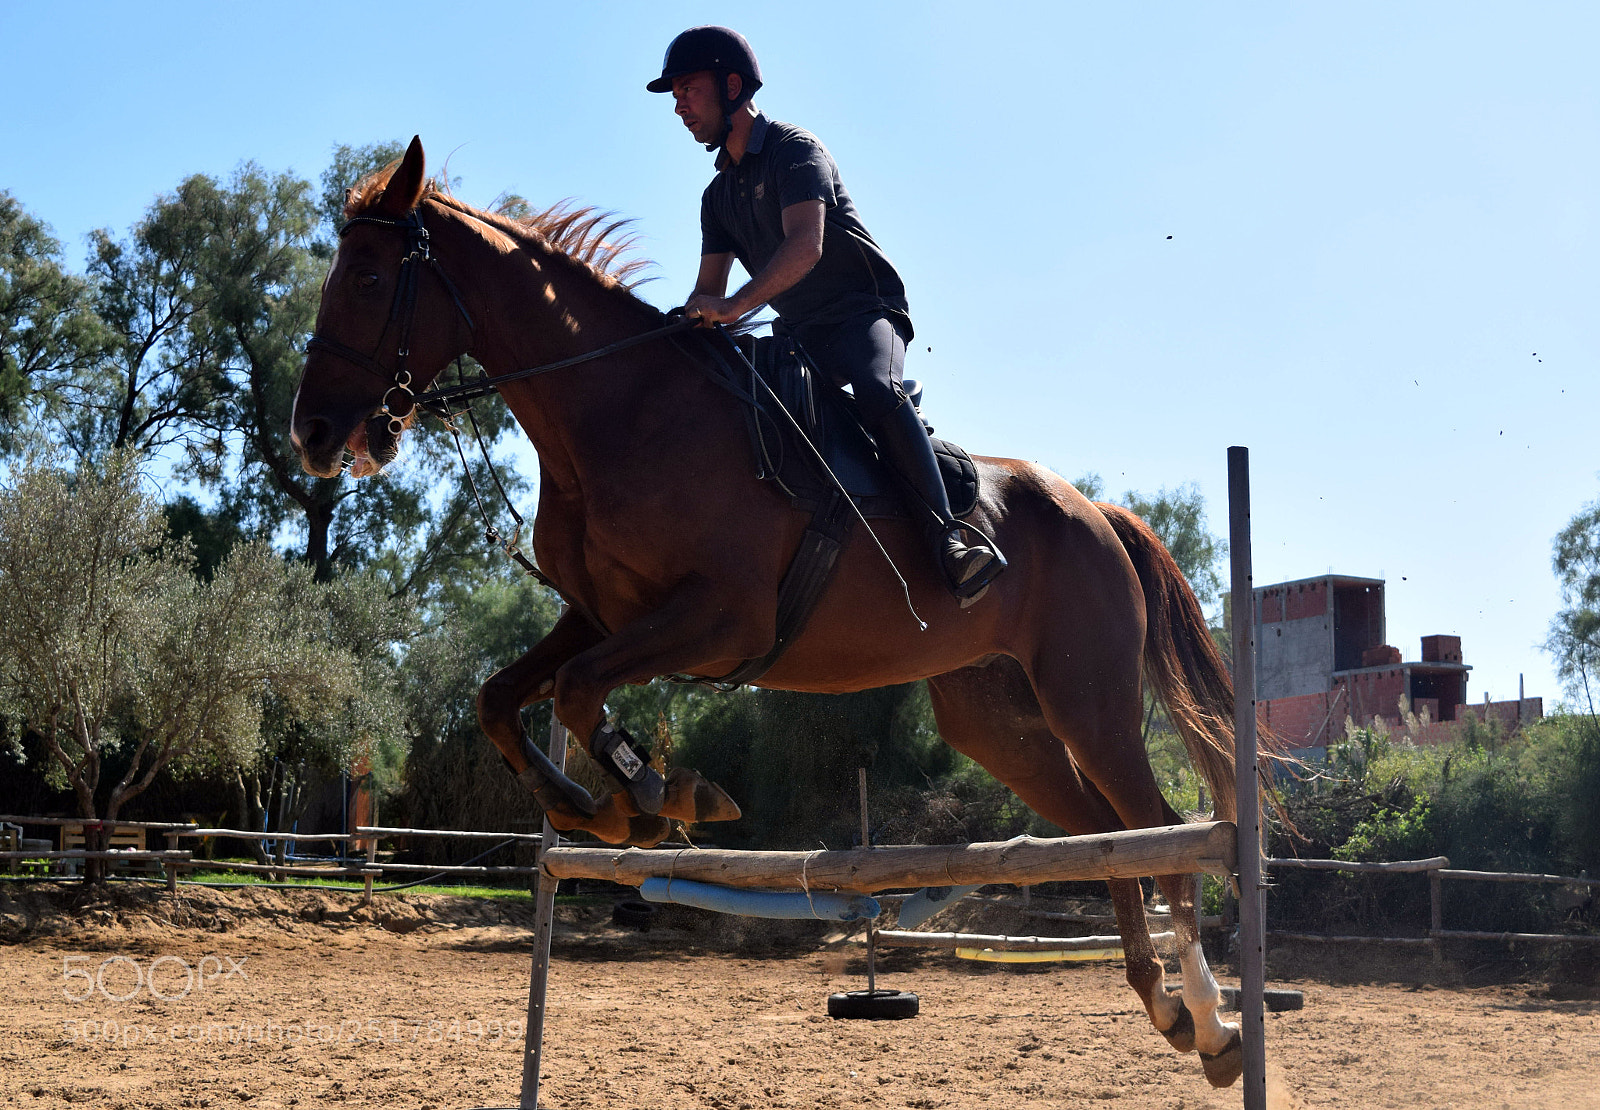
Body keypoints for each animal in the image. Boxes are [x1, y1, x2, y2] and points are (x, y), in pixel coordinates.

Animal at [289, 137, 1245, 1087]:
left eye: (368, 279)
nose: (313, 433)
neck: (618, 413)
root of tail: (1100, 514)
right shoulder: (600, 616)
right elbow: (505, 697)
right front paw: (598, 807)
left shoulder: (722, 620)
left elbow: (575, 690)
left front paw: (655, 792)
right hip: (999, 724)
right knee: (1110, 837)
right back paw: (1163, 1005)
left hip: (1089, 700)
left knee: (1162, 834)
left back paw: (1210, 1020)